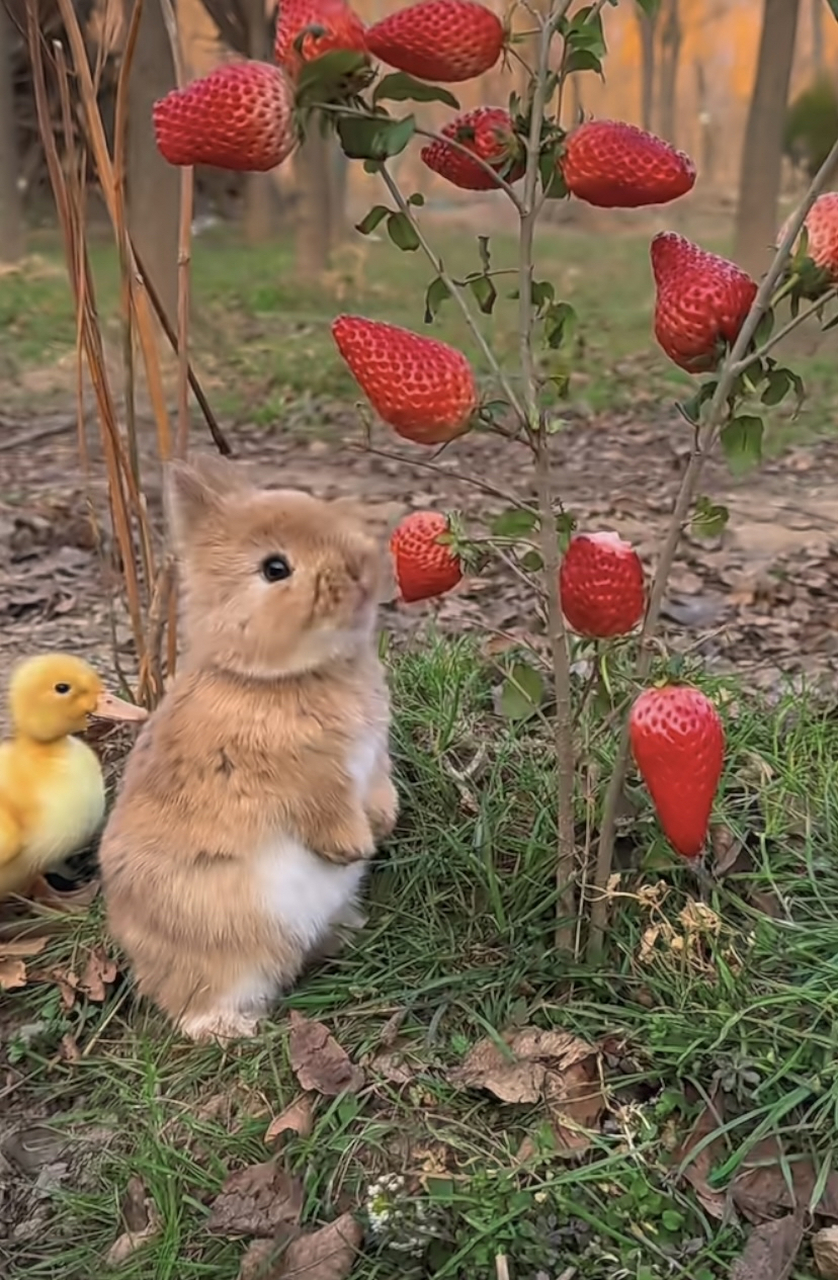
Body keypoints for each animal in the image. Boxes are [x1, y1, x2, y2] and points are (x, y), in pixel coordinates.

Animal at [98, 455, 399, 1044]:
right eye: (275, 569)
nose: (360, 572)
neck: (275, 678)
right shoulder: (306, 779)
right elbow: (327, 812)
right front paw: (354, 847)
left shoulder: (372, 759)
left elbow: (378, 789)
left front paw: (384, 825)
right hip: (225, 946)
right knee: (197, 1001)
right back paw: (231, 1030)